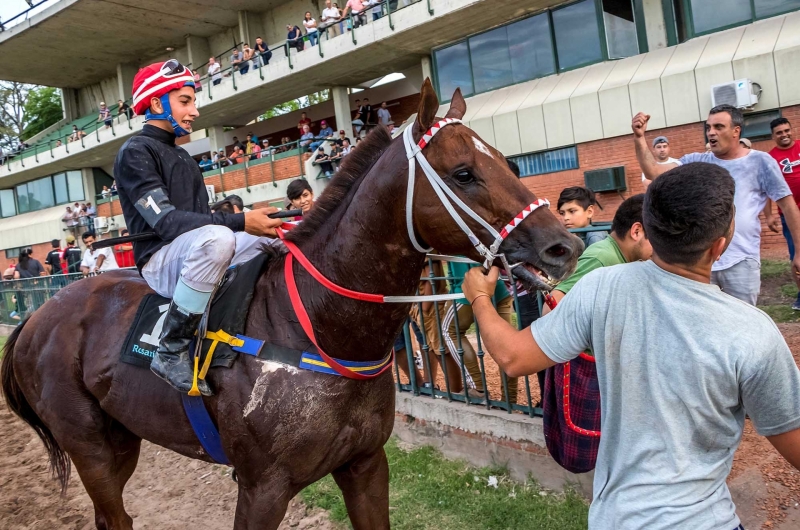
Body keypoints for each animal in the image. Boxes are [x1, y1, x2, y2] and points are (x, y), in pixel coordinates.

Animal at [0, 79, 580, 528]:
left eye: (506, 162)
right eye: (463, 173)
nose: (563, 246)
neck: (317, 328)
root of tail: (36, 317)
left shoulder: (366, 465)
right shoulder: (262, 486)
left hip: (123, 437)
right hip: (91, 447)